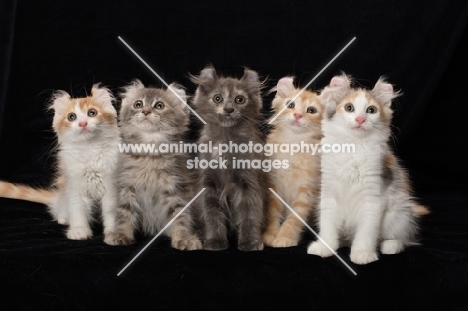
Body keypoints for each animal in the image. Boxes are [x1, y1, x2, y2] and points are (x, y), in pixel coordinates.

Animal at [0, 85, 122, 241]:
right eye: (72, 117)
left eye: (92, 113)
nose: (83, 123)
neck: (89, 149)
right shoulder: (74, 186)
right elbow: (77, 210)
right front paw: (78, 231)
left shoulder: (111, 186)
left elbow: (110, 211)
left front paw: (113, 233)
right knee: (60, 209)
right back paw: (64, 218)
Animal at [104, 80, 201, 251]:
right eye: (138, 104)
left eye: (159, 106)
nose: (145, 111)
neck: (149, 154)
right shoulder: (127, 185)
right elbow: (124, 213)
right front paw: (121, 234)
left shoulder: (176, 186)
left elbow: (180, 215)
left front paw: (183, 238)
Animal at [190, 67, 266, 252]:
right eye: (217, 98)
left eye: (240, 99)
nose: (229, 109)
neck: (226, 139)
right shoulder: (208, 184)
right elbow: (212, 214)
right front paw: (214, 240)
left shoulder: (249, 182)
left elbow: (250, 215)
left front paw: (250, 242)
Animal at [306, 73, 430, 266]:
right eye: (349, 108)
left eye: (371, 110)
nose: (360, 119)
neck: (353, 147)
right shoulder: (328, 194)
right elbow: (327, 225)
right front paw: (325, 246)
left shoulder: (373, 199)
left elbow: (366, 232)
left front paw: (362, 254)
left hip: (398, 213)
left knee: (403, 238)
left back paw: (390, 246)